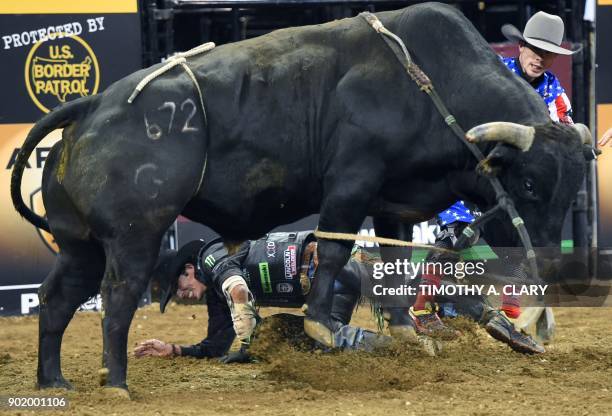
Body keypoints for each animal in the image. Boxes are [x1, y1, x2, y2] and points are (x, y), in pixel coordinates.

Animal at [9, 3, 588, 390]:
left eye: (572, 189)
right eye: (529, 184)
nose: (546, 264)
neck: (429, 87)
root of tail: (91, 105)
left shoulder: (396, 202)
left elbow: (396, 268)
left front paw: (408, 333)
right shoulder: (351, 183)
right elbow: (331, 251)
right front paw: (323, 327)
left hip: (79, 243)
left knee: (58, 297)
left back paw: (53, 381)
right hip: (135, 236)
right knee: (118, 297)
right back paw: (117, 383)